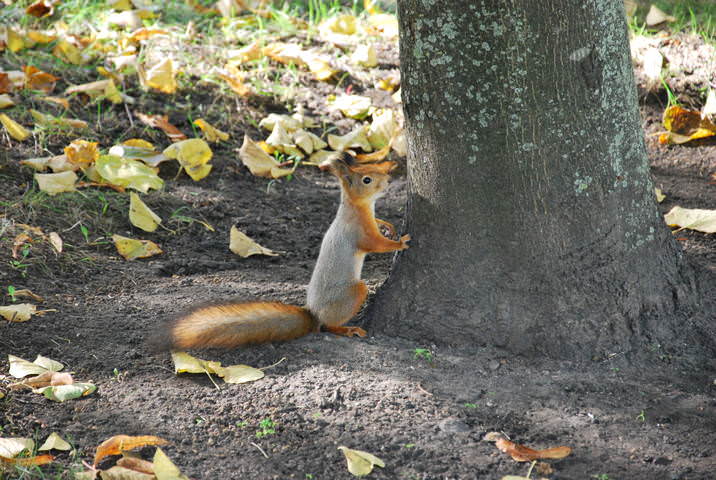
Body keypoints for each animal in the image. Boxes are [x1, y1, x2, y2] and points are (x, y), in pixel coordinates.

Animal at [159, 154, 410, 350]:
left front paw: (388, 225)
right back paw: (347, 330)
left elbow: (380, 225)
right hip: (350, 295)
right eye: (367, 179)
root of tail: (314, 313)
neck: (357, 206)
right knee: (328, 325)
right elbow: (376, 244)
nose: (388, 180)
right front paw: (400, 243)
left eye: (374, 169)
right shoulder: (359, 232)